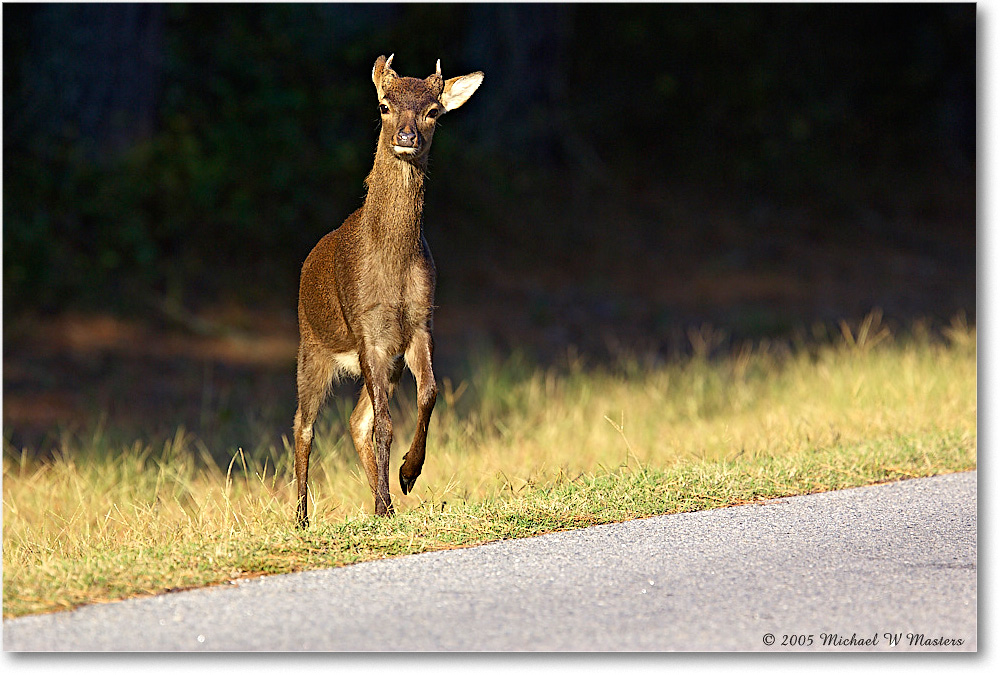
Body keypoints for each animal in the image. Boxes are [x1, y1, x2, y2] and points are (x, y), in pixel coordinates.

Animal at [292, 54, 482, 528]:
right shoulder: (366, 330)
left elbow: (429, 394)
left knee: (355, 420)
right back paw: (301, 518)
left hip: (385, 358)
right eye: (383, 105)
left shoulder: (418, 324)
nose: (407, 137)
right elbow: (384, 424)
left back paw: (387, 502)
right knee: (303, 425)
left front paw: (407, 475)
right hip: (312, 347)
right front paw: (383, 500)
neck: (392, 262)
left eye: (433, 111)